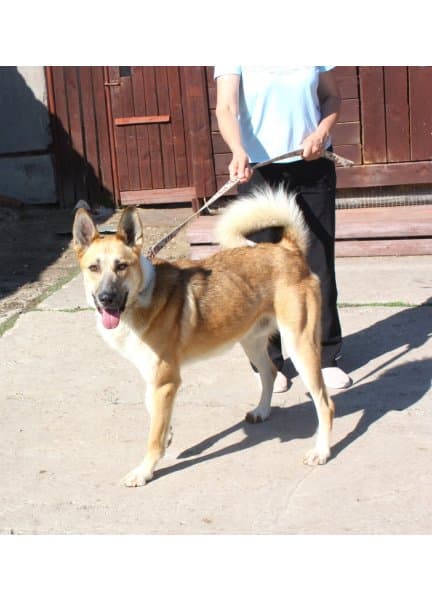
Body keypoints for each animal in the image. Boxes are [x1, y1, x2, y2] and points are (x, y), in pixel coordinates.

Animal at [73, 185, 334, 487]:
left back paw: (321, 451)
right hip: (251, 341)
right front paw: (168, 435)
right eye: (94, 268)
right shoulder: (156, 379)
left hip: (300, 344)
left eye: (121, 266)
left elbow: (153, 437)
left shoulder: (165, 380)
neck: (142, 296)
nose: (106, 298)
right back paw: (262, 411)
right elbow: (154, 412)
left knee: (325, 404)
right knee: (268, 372)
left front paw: (145, 470)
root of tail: (287, 248)